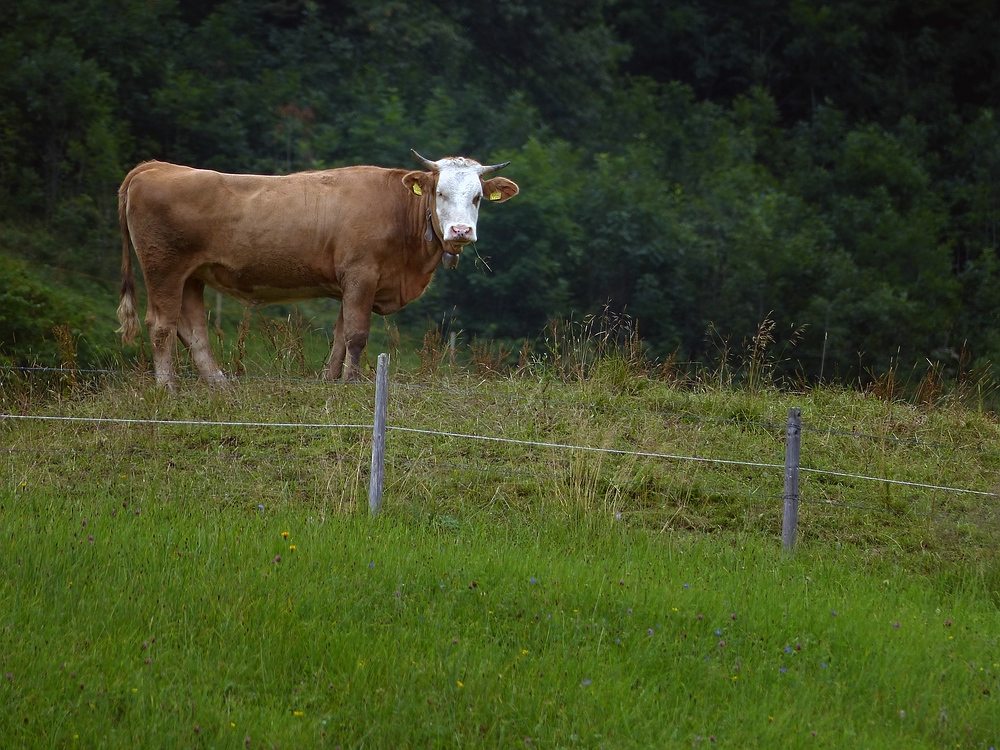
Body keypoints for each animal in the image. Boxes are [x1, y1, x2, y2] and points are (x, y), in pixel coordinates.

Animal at [117, 151, 520, 390]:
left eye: (477, 197)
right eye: (440, 193)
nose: (461, 232)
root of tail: (156, 166)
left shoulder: (349, 285)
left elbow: (340, 336)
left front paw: (331, 381)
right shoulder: (361, 275)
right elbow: (356, 335)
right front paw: (352, 384)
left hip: (192, 276)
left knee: (193, 330)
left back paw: (221, 387)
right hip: (164, 268)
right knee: (161, 325)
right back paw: (167, 389)